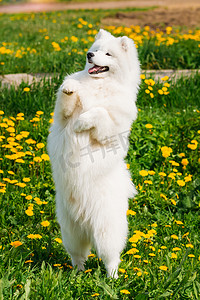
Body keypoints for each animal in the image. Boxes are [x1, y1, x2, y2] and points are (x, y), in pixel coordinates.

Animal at [47, 29, 140, 278]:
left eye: (107, 54)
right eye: (95, 50)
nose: (89, 55)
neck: (101, 85)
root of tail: (85, 222)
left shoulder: (111, 129)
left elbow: (98, 112)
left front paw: (82, 123)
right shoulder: (62, 117)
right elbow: (66, 102)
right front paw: (70, 87)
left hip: (107, 231)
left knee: (111, 258)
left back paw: (113, 278)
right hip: (70, 231)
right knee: (78, 256)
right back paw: (76, 275)